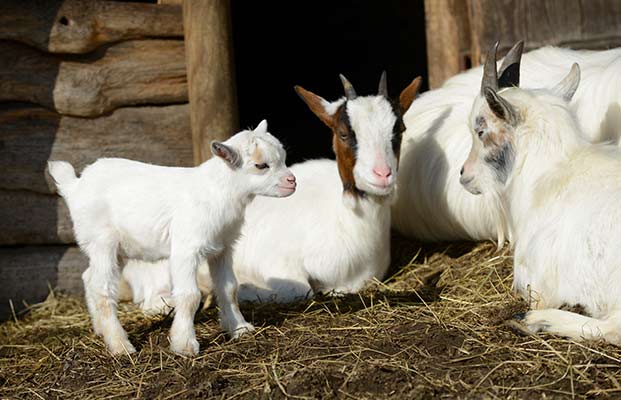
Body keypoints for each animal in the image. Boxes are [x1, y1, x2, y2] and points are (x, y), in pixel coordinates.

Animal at [47, 120, 294, 354]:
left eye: (283, 158)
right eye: (261, 165)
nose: (292, 181)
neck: (217, 192)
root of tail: (75, 185)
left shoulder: (223, 248)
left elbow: (230, 288)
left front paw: (240, 329)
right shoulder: (187, 248)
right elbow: (189, 295)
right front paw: (184, 345)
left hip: (118, 248)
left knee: (89, 277)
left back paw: (100, 330)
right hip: (101, 240)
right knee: (102, 288)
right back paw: (120, 346)